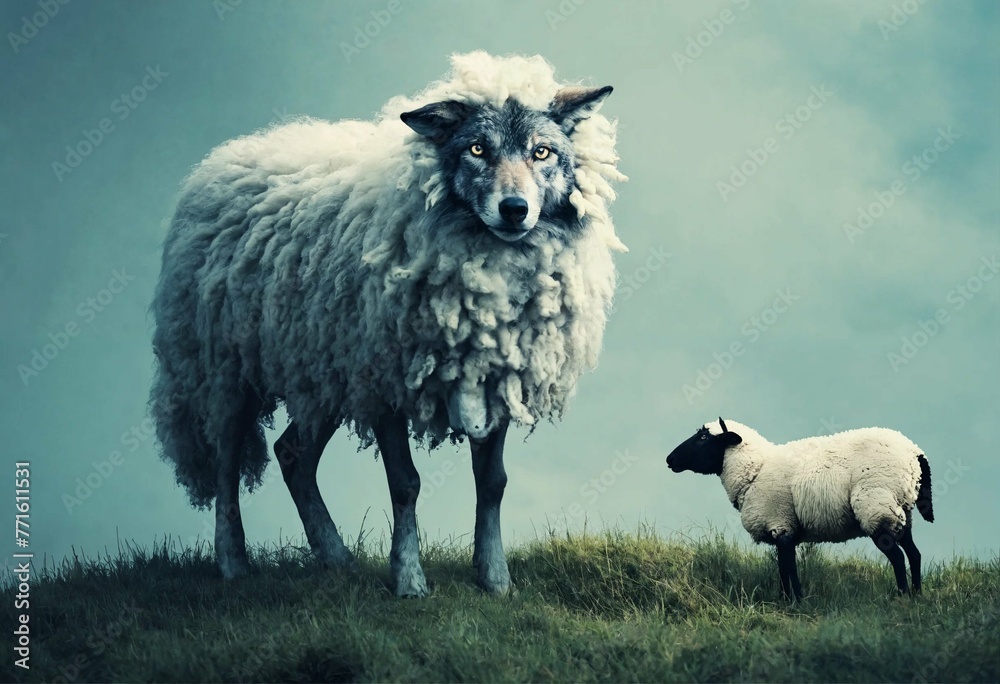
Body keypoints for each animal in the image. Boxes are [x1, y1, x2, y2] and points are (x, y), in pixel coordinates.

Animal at [149, 51, 627, 596]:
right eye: (477, 149)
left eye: (542, 152)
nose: (514, 210)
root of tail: (223, 158)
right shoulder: (384, 378)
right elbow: (406, 484)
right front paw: (409, 579)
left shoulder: (495, 375)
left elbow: (493, 483)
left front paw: (495, 578)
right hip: (226, 365)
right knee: (227, 460)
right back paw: (233, 562)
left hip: (323, 371)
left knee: (292, 453)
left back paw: (335, 557)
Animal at [666, 418, 934, 599]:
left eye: (703, 438)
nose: (670, 460)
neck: (755, 469)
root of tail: (915, 453)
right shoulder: (784, 529)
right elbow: (782, 569)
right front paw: (785, 600)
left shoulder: (780, 523)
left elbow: (789, 569)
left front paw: (798, 602)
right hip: (901, 509)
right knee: (914, 553)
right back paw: (917, 595)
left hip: (876, 506)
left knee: (898, 557)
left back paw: (902, 597)